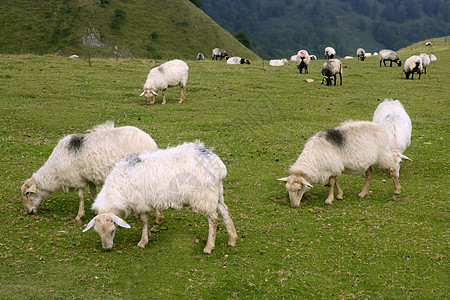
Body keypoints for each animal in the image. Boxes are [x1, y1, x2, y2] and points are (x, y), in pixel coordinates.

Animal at [21, 120, 162, 224]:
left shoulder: (77, 179)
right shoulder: (89, 178)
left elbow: (80, 196)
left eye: (28, 193)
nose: (29, 211)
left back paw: (158, 218)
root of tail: (151, 142)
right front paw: (96, 211)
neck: (54, 172)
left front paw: (79, 216)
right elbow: (93, 192)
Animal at [85, 141, 239, 253]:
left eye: (112, 231)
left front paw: (143, 241)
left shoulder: (141, 203)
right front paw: (147, 236)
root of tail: (216, 163)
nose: (107, 249)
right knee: (225, 211)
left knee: (213, 218)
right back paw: (232, 239)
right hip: (215, 192)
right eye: (97, 232)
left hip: (203, 196)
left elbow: (143, 221)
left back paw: (209, 247)